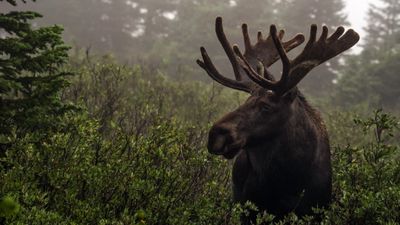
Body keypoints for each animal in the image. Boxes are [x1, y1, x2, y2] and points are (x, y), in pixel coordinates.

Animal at [196, 16, 360, 221]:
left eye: (266, 106)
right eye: (246, 101)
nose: (216, 134)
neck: (287, 181)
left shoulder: (315, 210)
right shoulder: (249, 207)